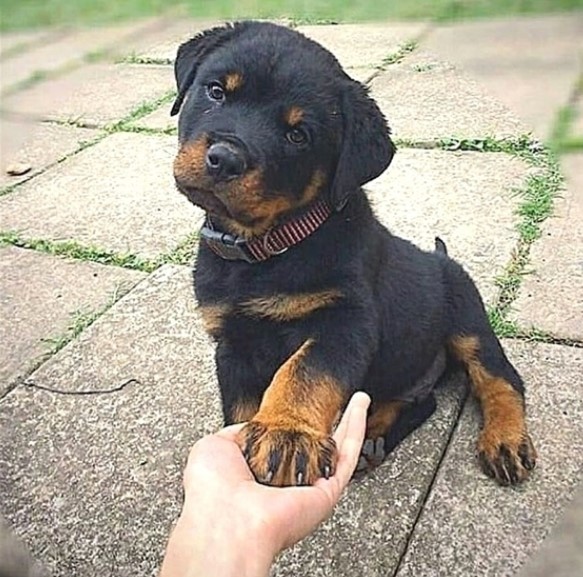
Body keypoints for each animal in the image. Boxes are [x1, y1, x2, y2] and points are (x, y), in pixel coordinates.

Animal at [172, 23, 540, 486]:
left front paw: (288, 434)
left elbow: (304, 372)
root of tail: (441, 258)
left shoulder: (346, 320)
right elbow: (240, 408)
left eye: (298, 135)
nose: (223, 159)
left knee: (500, 377)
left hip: (468, 322)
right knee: (422, 402)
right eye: (216, 91)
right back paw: (372, 438)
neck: (265, 251)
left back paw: (505, 440)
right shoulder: (232, 345)